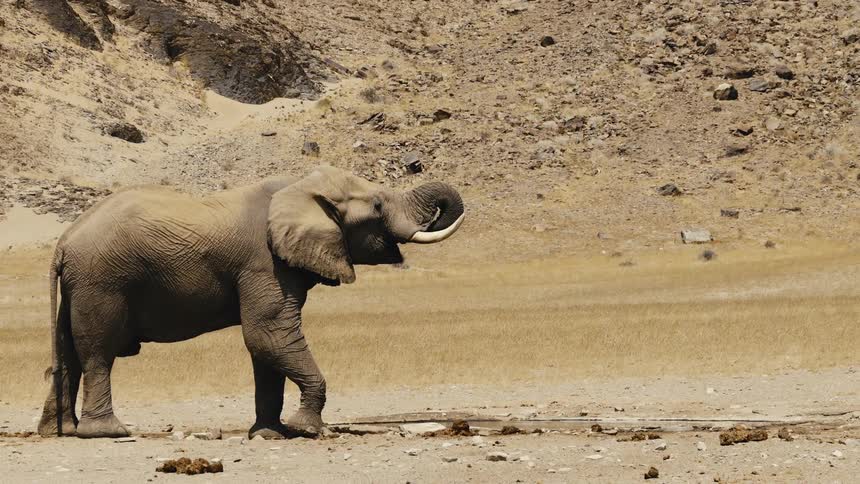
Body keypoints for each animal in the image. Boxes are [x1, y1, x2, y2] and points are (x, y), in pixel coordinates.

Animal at [36, 166, 464, 439]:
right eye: (376, 206)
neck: (298, 187)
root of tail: (64, 241)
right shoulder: (264, 263)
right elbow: (268, 335)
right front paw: (307, 429)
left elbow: (268, 348)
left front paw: (269, 435)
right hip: (102, 281)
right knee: (98, 353)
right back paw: (107, 432)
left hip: (80, 285)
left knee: (68, 353)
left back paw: (60, 432)